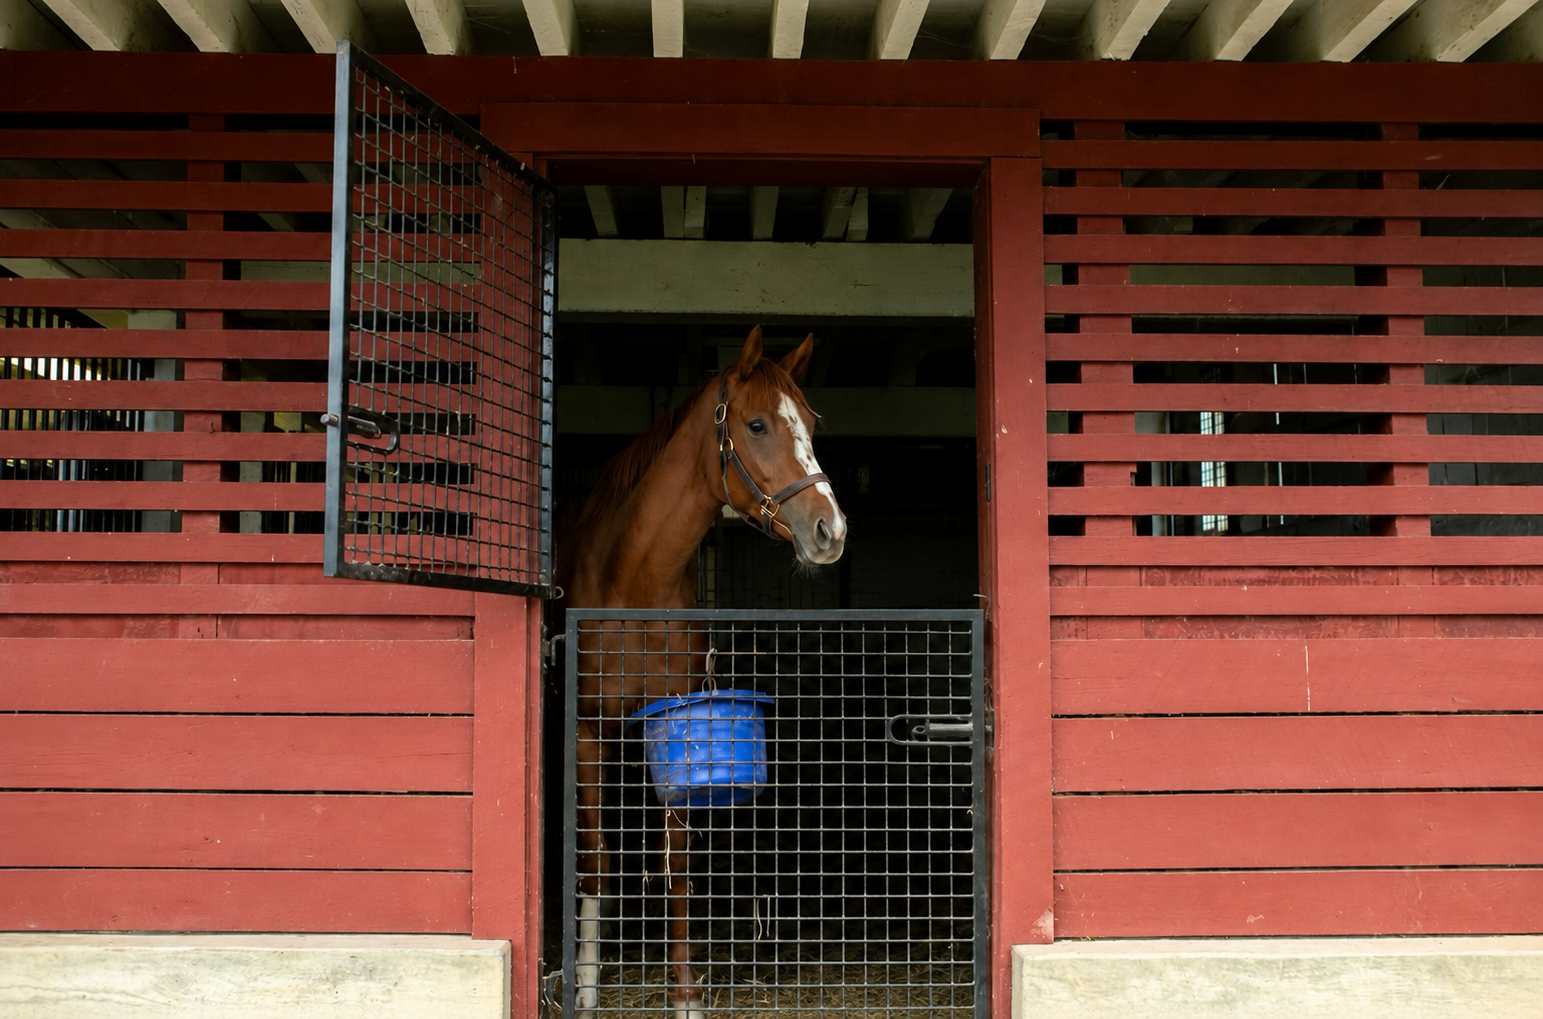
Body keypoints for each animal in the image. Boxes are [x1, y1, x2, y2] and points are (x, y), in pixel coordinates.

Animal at [556, 325, 848, 1019]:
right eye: (757, 423)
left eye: (811, 423)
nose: (831, 530)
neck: (634, 583)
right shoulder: (587, 731)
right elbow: (595, 862)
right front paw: (586, 992)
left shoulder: (678, 730)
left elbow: (679, 868)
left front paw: (686, 997)